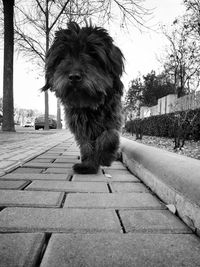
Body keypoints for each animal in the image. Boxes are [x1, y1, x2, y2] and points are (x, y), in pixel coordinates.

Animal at [41, 21, 123, 176]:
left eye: (93, 54)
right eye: (62, 56)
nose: (74, 76)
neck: (89, 104)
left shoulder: (112, 118)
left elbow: (109, 135)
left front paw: (105, 157)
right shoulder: (80, 125)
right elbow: (86, 144)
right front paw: (88, 165)